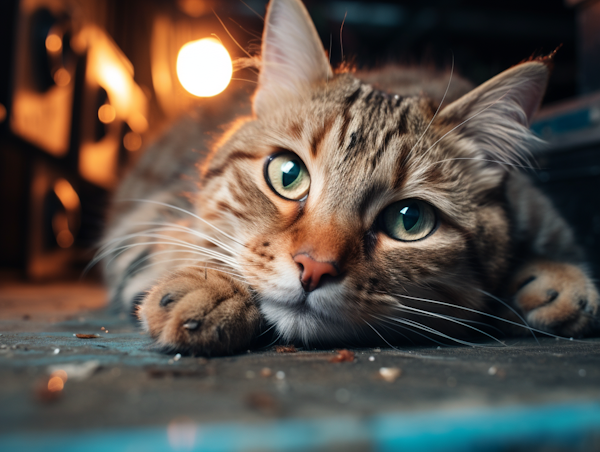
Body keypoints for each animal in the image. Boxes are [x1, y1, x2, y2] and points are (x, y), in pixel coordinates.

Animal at [101, 0, 596, 356]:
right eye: (287, 174)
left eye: (410, 219)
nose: (314, 268)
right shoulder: (141, 224)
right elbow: (184, 244)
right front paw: (213, 287)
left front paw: (553, 277)